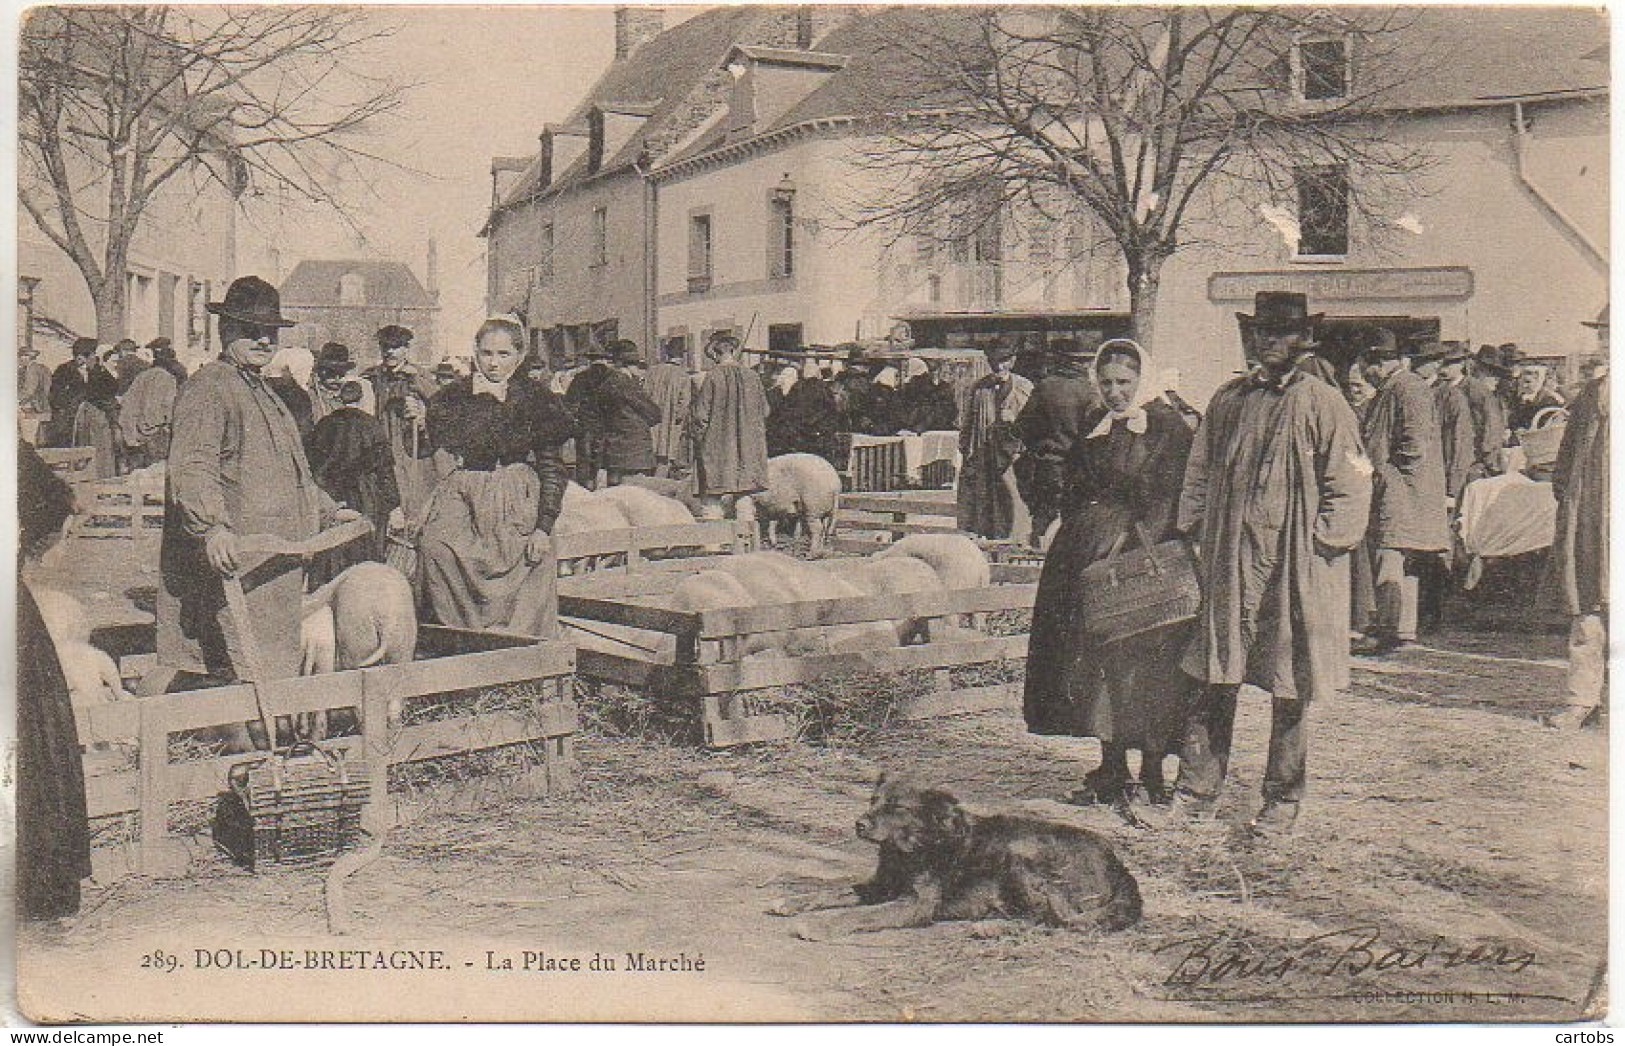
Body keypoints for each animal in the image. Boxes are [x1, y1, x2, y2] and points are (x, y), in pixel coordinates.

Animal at [770, 766, 1144, 942]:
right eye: (873, 801)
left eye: (896, 807)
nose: (859, 824)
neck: (915, 846)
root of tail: (1120, 866)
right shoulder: (881, 885)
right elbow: (833, 889)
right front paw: (792, 900)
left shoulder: (914, 903)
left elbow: (858, 914)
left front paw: (820, 924)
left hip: (1021, 856)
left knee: (1058, 920)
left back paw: (991, 928)